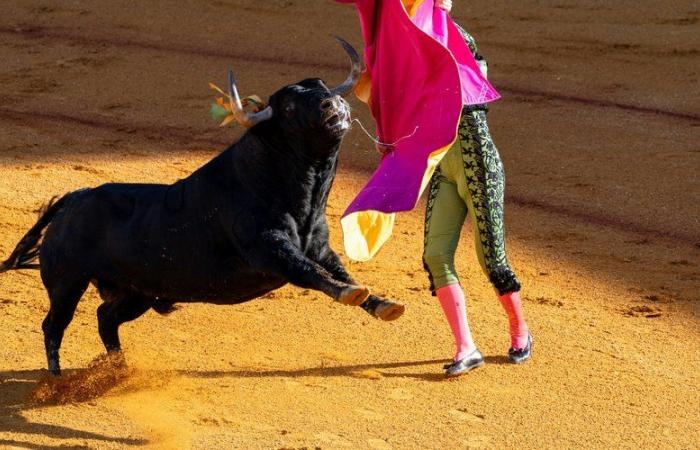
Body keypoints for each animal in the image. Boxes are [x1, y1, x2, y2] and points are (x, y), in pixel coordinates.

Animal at [0, 40, 404, 374]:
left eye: (321, 87)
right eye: (289, 107)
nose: (331, 103)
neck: (297, 192)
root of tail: (75, 198)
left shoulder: (319, 245)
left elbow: (339, 270)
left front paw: (383, 304)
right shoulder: (268, 247)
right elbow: (310, 272)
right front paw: (351, 294)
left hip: (137, 292)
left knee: (105, 318)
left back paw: (119, 370)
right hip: (68, 281)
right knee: (55, 324)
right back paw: (57, 378)